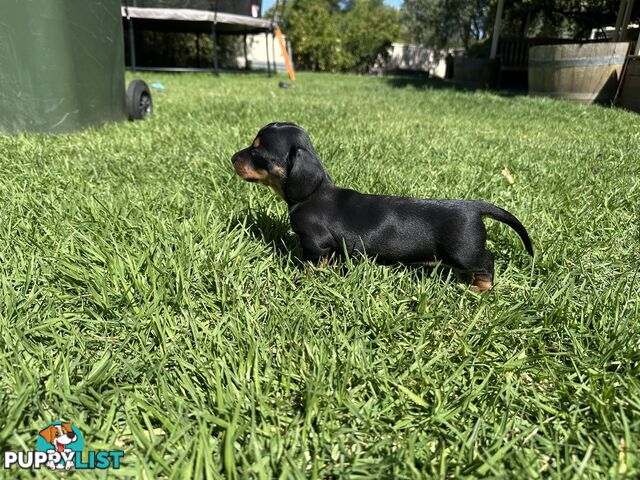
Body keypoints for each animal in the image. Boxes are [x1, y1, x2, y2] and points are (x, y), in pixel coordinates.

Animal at [232, 122, 532, 290]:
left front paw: (304, 281)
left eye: (258, 151)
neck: (313, 194)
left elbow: (312, 265)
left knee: (487, 262)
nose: (232, 158)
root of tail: (474, 207)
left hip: (463, 253)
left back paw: (480, 289)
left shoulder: (316, 245)